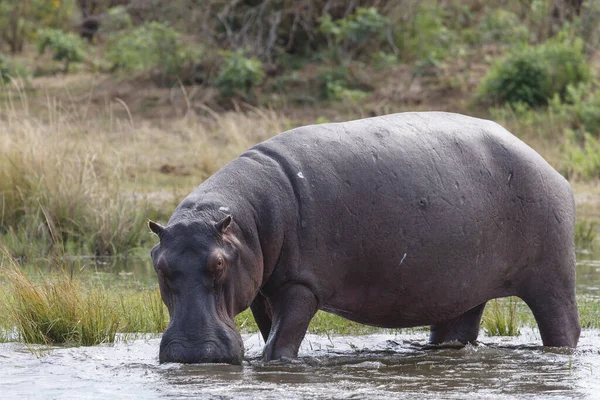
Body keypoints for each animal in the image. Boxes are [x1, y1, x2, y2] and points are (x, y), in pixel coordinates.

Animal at [149, 111, 580, 364]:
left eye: (219, 263)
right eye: (160, 266)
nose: (191, 354)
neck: (244, 222)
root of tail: (549, 167)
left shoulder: (302, 284)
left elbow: (282, 339)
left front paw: (275, 364)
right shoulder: (259, 287)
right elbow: (268, 327)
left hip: (551, 276)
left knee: (563, 323)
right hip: (463, 287)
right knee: (457, 328)